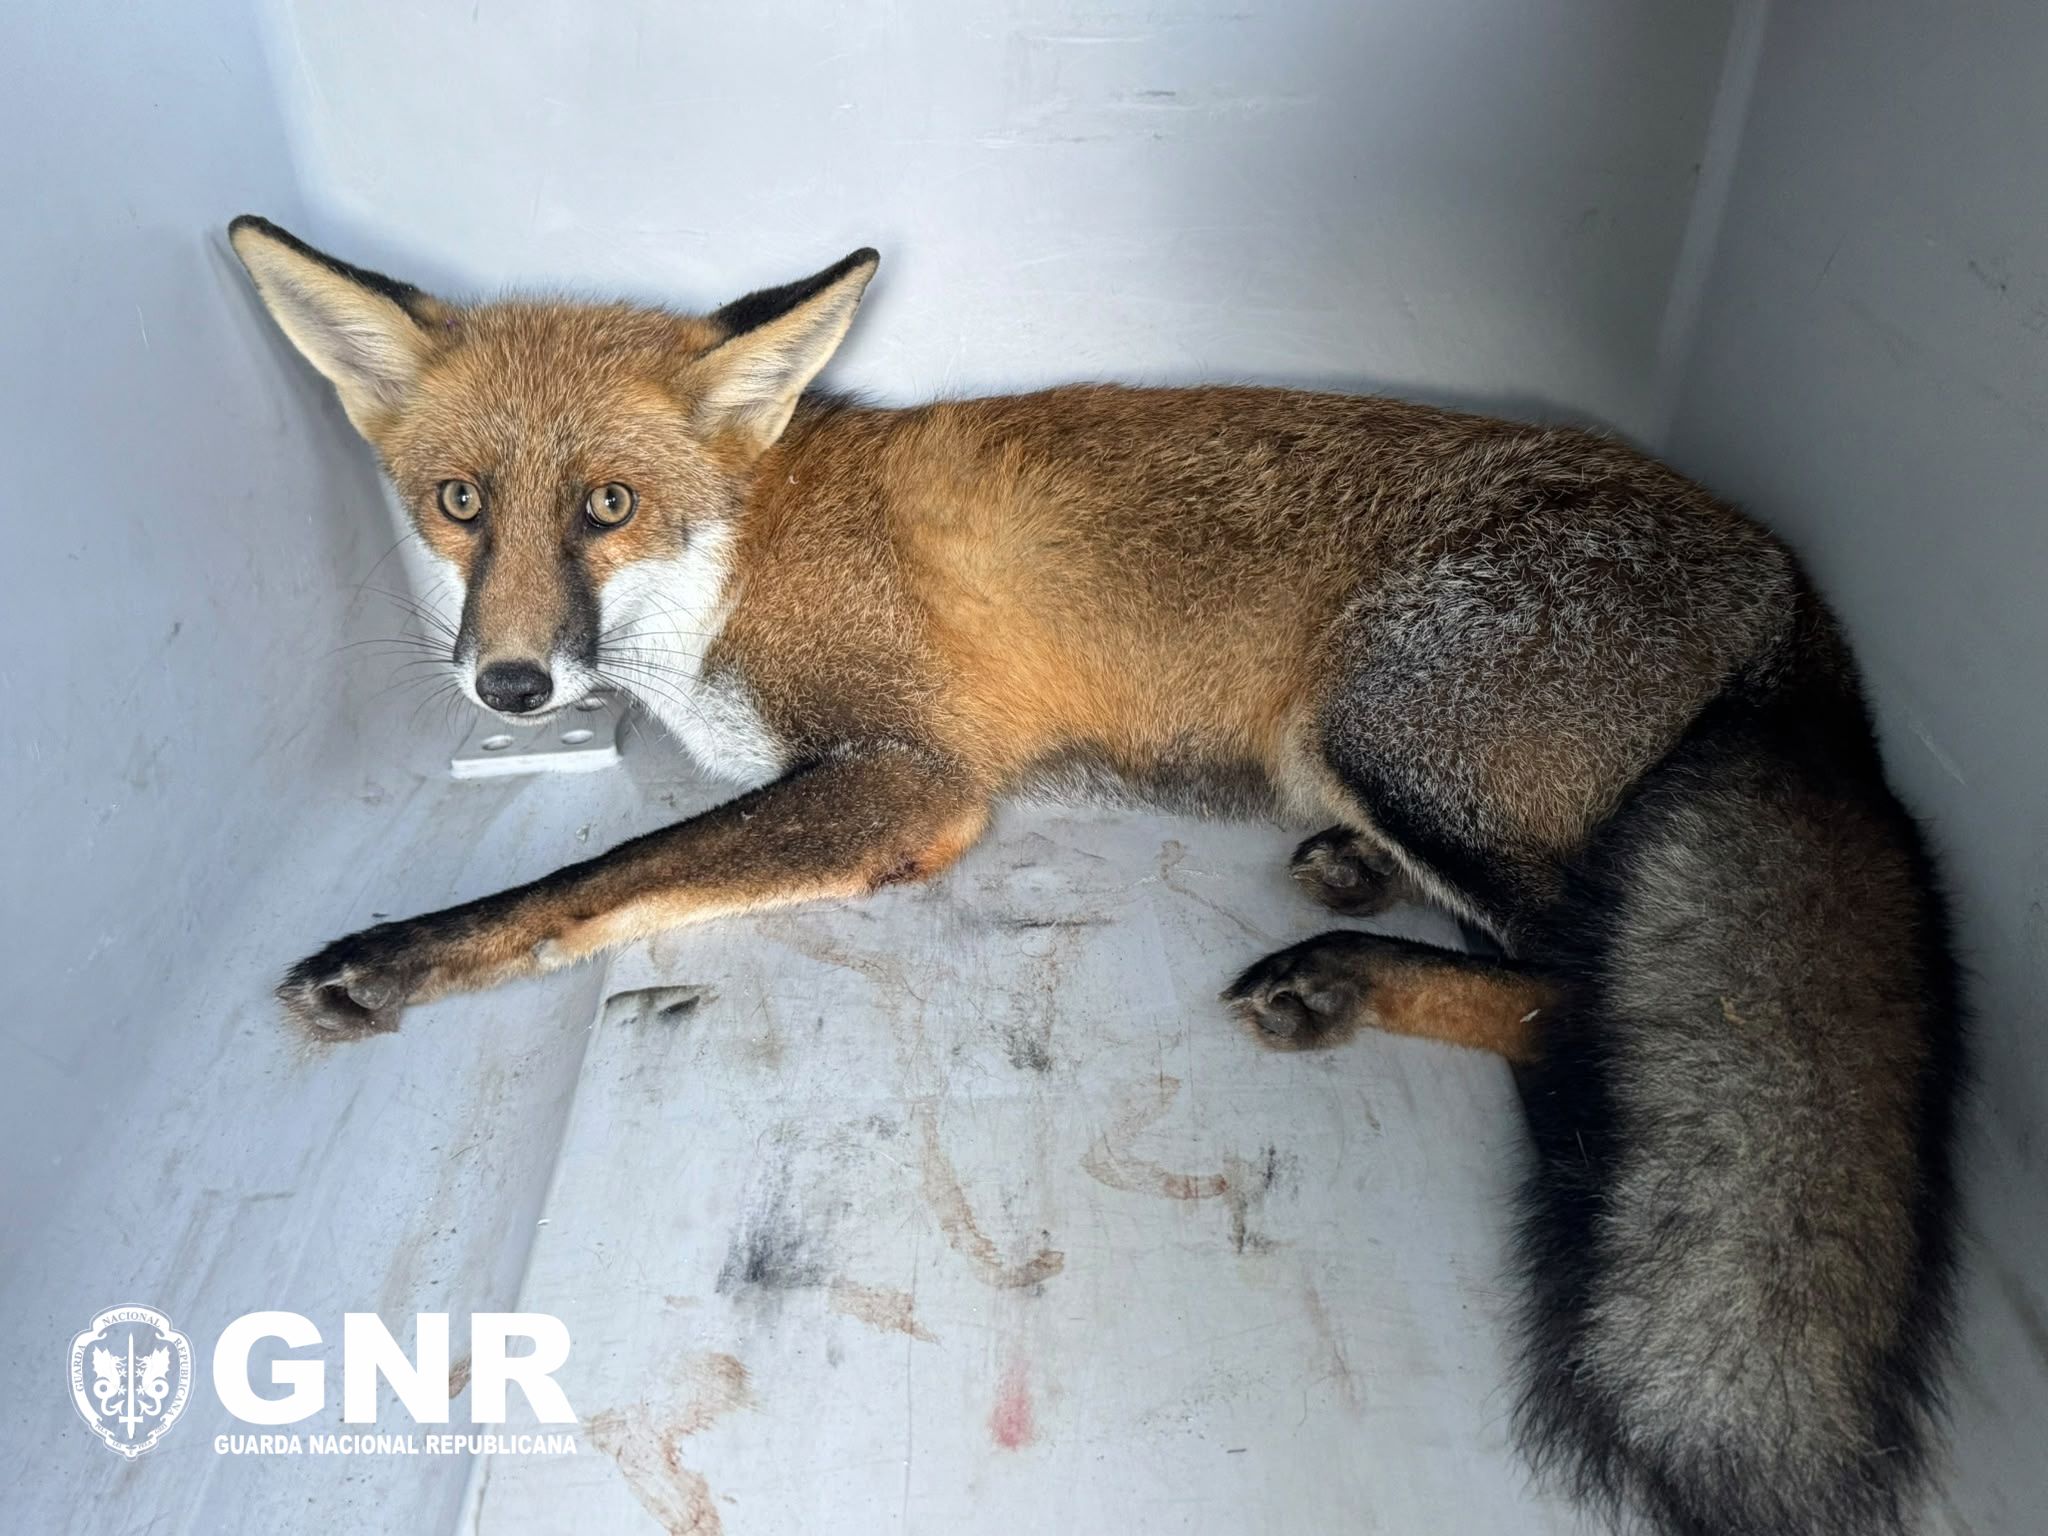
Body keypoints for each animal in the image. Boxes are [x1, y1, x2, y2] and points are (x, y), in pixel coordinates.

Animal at [228, 215, 1962, 1536]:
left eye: (608, 506)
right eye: (459, 504)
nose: (511, 686)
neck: (736, 568)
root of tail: (1799, 603)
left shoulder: (908, 780)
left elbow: (603, 876)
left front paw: (402, 953)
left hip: (1390, 729)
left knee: (1589, 988)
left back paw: (1354, 982)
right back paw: (1353, 894)